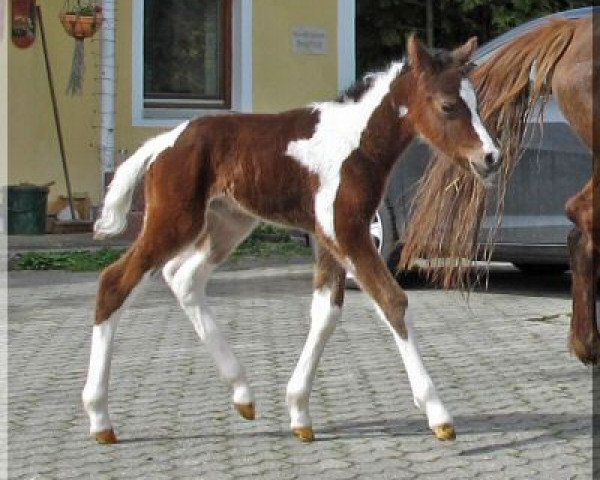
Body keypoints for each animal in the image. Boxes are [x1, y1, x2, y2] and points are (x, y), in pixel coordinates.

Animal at [82, 35, 500, 444]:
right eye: (447, 106)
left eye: (476, 103)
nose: (491, 156)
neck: (355, 143)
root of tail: (165, 141)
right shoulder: (347, 231)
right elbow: (392, 301)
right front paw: (438, 413)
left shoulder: (332, 236)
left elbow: (326, 312)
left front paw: (299, 411)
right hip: (175, 221)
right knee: (114, 282)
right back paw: (99, 417)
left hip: (228, 224)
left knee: (182, 277)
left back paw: (242, 393)